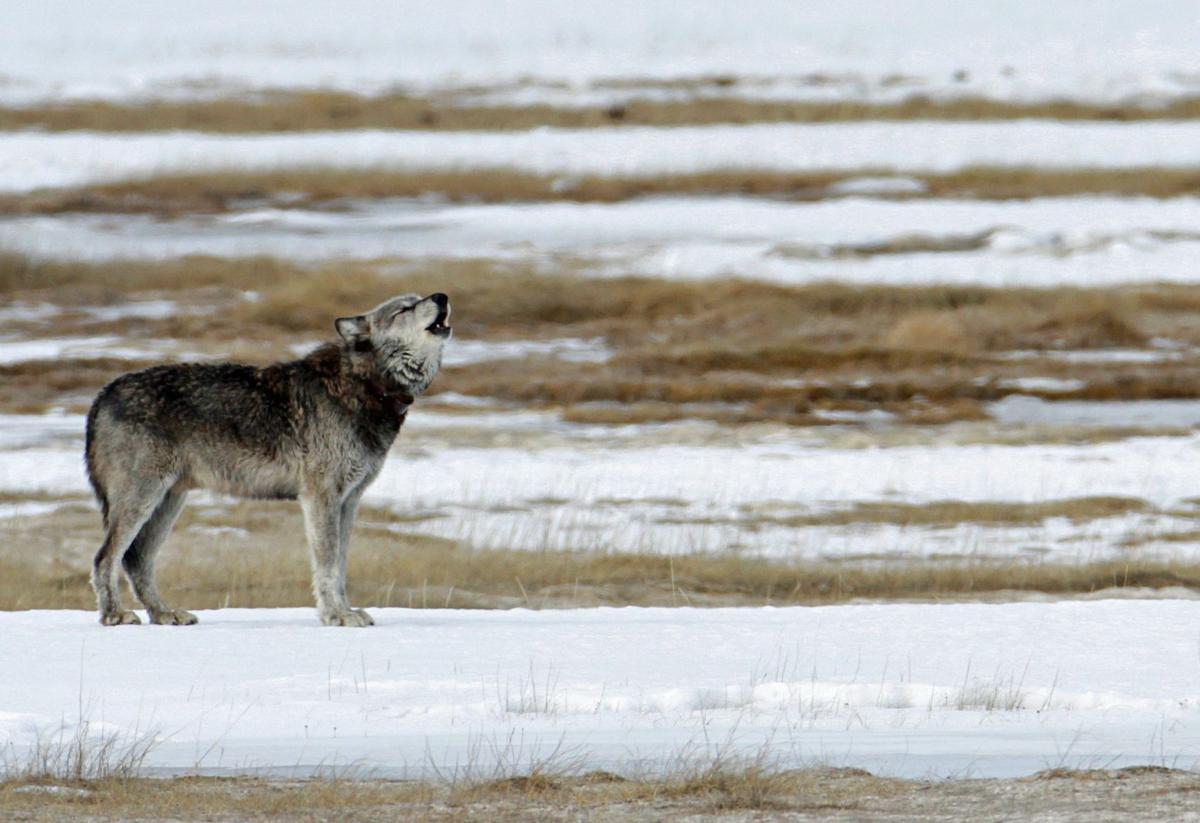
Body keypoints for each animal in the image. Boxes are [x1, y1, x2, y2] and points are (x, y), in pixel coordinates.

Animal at [83, 293, 451, 628]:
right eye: (405, 308)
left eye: (420, 297)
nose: (441, 297)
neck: (365, 385)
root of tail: (102, 394)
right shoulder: (321, 498)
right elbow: (328, 565)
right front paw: (336, 616)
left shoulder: (349, 501)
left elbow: (341, 565)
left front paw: (346, 611)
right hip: (142, 500)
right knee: (105, 558)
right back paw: (115, 615)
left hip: (168, 503)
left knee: (137, 559)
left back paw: (164, 614)